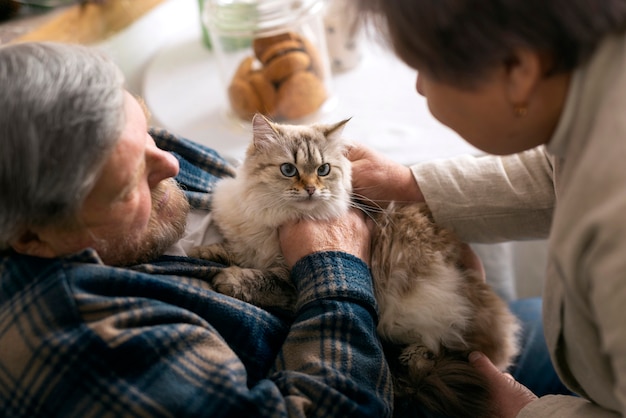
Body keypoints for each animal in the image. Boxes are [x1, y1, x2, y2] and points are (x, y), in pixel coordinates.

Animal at [191, 114, 520, 418]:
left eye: (323, 170)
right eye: (288, 170)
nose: (311, 190)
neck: (276, 218)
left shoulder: (292, 283)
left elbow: (261, 279)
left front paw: (228, 279)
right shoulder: (248, 243)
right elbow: (230, 251)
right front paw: (199, 250)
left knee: (444, 350)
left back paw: (415, 358)